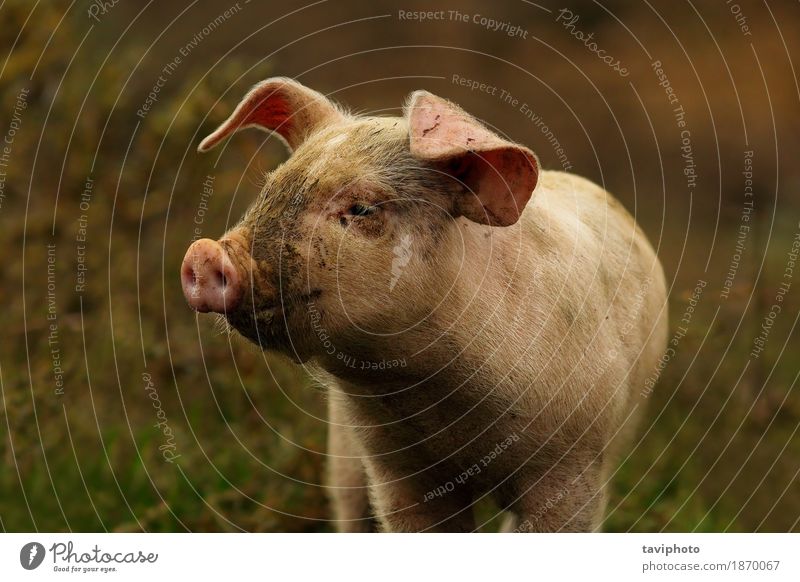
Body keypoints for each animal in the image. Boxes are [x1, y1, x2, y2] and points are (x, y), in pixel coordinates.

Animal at [181, 77, 668, 532]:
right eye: (272, 187)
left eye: (361, 209)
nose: (204, 253)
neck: (430, 396)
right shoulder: (393, 466)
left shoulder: (574, 460)